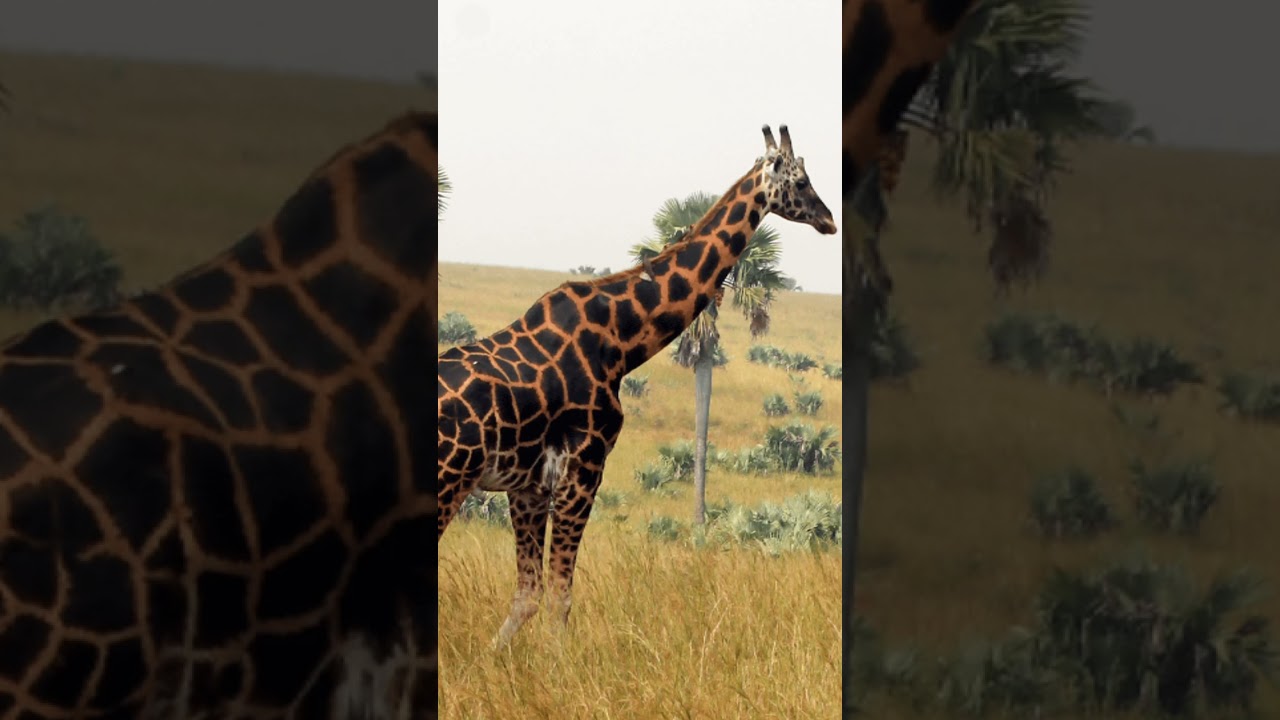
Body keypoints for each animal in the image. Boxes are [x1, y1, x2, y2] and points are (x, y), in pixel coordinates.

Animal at [437, 124, 837, 646]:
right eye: (802, 181)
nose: (829, 220)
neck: (621, 340)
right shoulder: (585, 465)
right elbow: (560, 594)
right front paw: (559, 662)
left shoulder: (528, 484)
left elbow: (527, 593)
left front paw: (499, 657)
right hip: (446, 480)